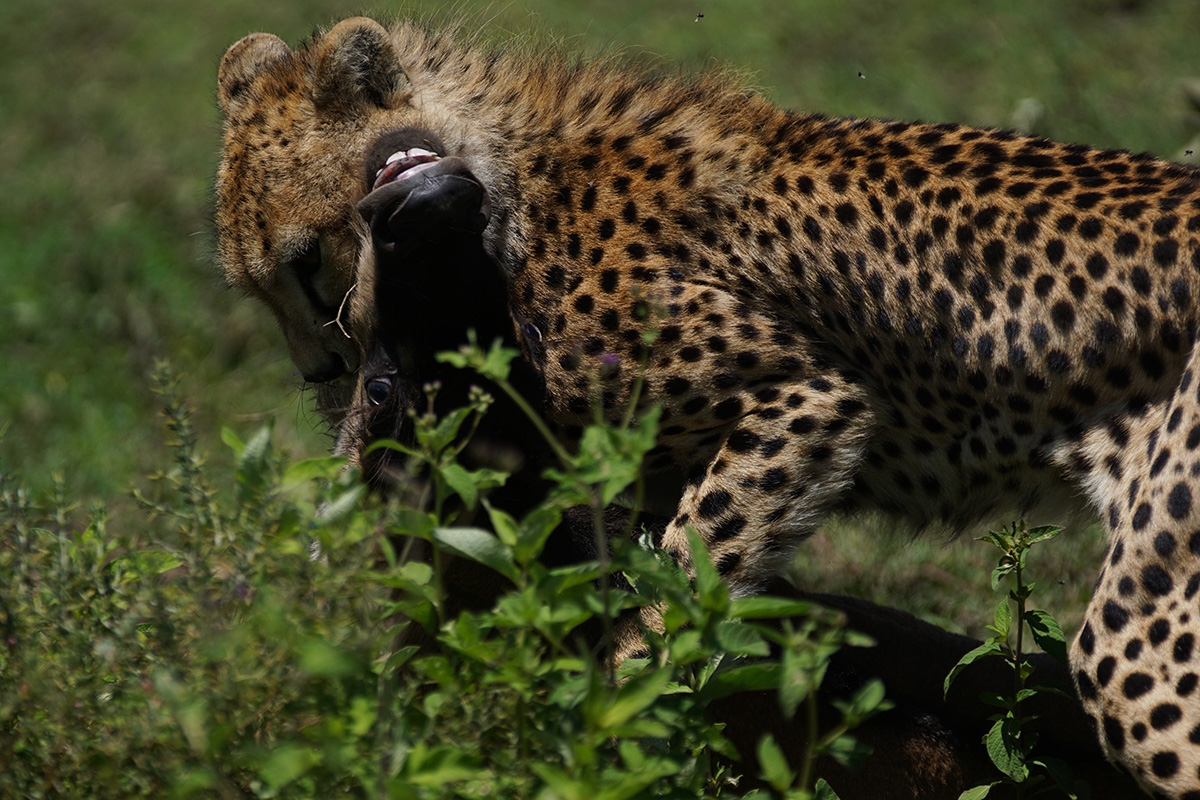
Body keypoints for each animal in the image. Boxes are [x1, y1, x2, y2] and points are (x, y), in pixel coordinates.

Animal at [216, 17, 1200, 796]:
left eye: (305, 265)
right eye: (258, 287)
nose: (318, 369)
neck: (502, 176)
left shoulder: (804, 397)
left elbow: (677, 595)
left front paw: (610, 727)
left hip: (1139, 645)